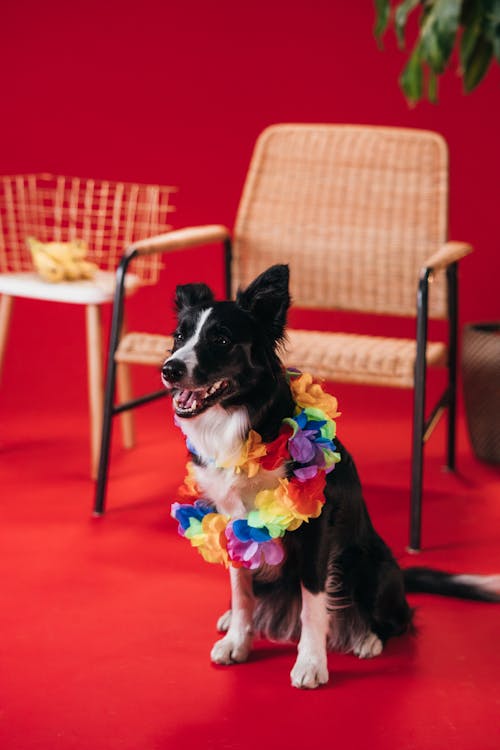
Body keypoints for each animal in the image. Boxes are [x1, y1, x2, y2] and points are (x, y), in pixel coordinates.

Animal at [162, 266, 498, 692]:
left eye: (220, 339)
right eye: (179, 336)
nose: (169, 368)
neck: (244, 420)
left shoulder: (314, 525)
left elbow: (313, 603)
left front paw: (310, 662)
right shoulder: (233, 522)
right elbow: (241, 591)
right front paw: (238, 640)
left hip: (373, 566)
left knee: (398, 619)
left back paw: (369, 638)